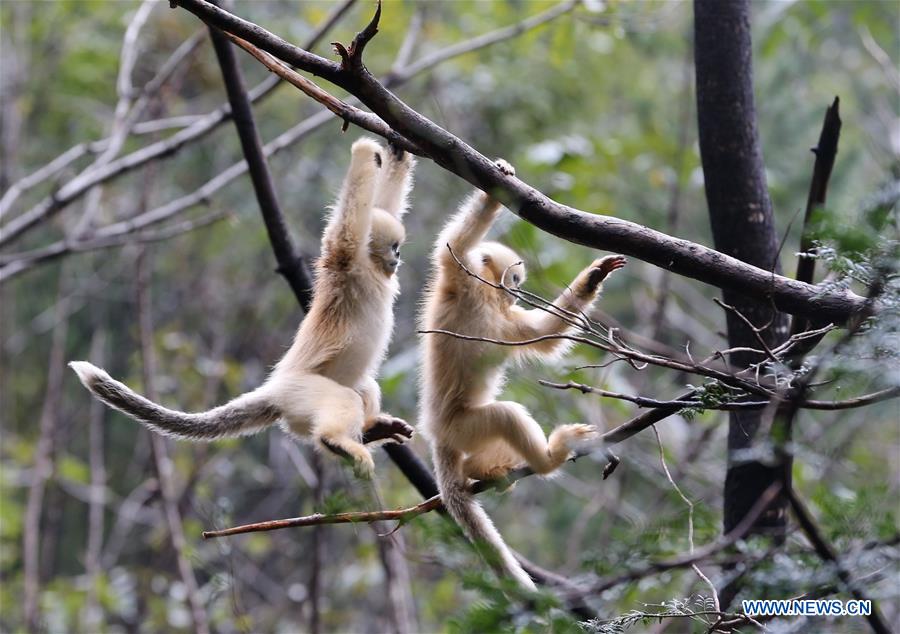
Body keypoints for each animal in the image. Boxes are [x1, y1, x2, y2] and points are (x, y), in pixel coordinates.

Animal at [72, 137, 416, 474]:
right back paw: (337, 441)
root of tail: (274, 390)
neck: (371, 271)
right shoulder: (345, 262)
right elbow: (344, 233)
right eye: (394, 247)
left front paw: (396, 152)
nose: (398, 258)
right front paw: (364, 151)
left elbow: (383, 203)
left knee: (364, 389)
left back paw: (370, 432)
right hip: (303, 390)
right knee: (343, 399)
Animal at [422, 159, 624, 588]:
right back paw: (551, 457)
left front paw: (594, 276)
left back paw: (487, 471)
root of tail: (437, 436)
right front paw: (494, 184)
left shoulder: (507, 321)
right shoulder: (458, 278)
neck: (484, 298)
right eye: (513, 278)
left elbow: (545, 335)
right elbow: (454, 245)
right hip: (464, 427)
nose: (515, 290)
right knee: (506, 415)